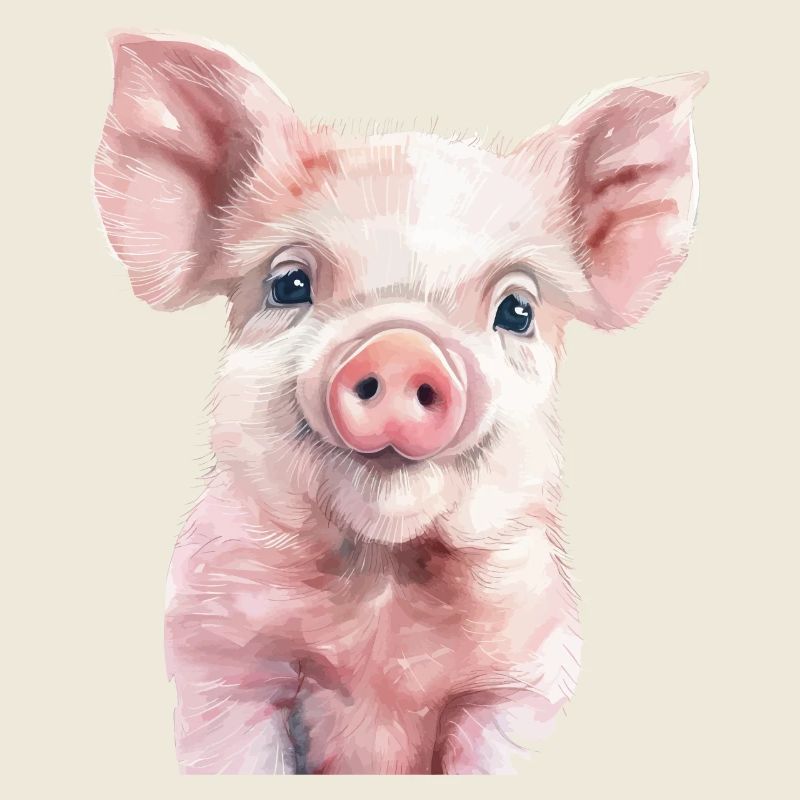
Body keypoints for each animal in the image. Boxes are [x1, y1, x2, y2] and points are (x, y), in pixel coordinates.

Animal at [93, 31, 705, 774]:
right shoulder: (218, 655)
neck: (382, 583)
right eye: (289, 283)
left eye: (518, 310)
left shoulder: (524, 682)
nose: (400, 348)